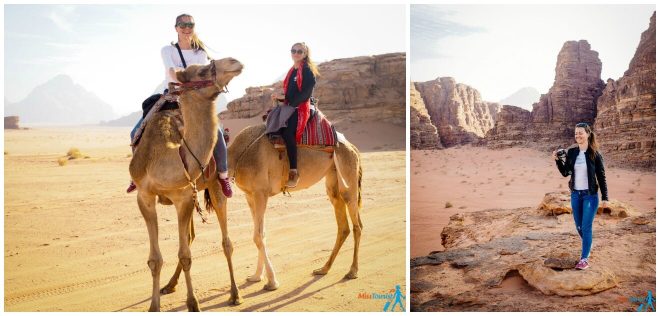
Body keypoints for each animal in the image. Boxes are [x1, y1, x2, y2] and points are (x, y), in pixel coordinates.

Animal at [129, 57, 242, 312]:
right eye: (202, 70)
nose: (235, 62)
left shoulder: (183, 198)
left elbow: (185, 255)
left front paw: (193, 304)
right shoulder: (145, 196)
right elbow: (155, 259)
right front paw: (154, 306)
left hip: (215, 186)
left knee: (226, 242)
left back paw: (235, 294)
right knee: (190, 237)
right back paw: (169, 285)